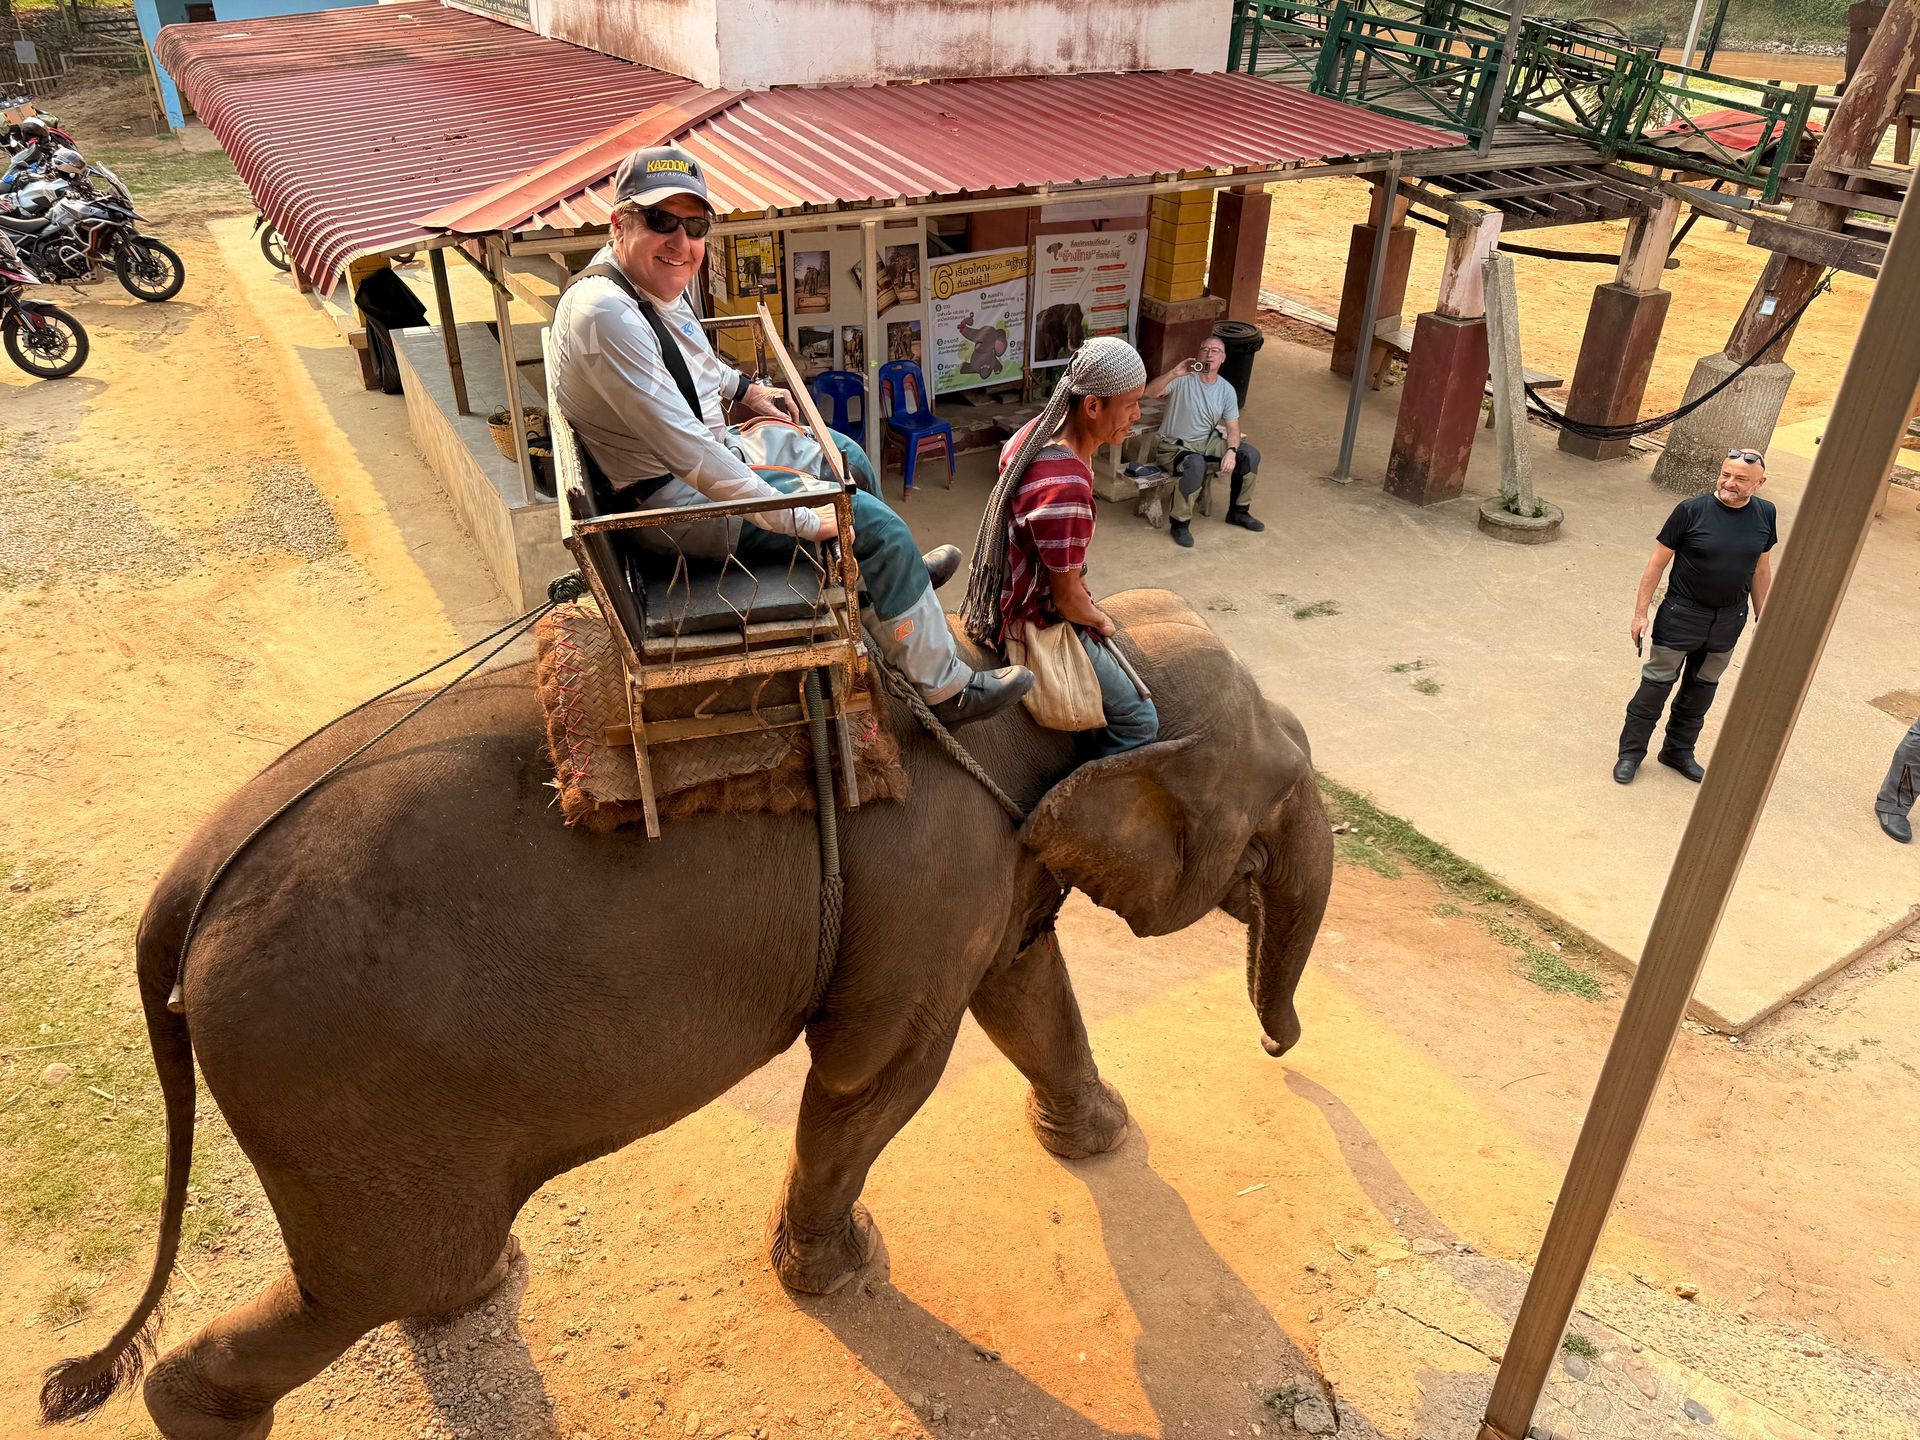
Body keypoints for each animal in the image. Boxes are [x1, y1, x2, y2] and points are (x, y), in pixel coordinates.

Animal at [41, 589, 1333, 1440]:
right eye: (1282, 794)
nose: (1283, 1048)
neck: (1028, 669)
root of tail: (188, 880)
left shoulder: (987, 873)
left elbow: (1024, 985)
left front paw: (1098, 1140)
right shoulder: (932, 888)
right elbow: (878, 1075)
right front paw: (843, 1271)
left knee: (400, 1272)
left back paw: (485, 1288)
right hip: (321, 1069)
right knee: (372, 1280)